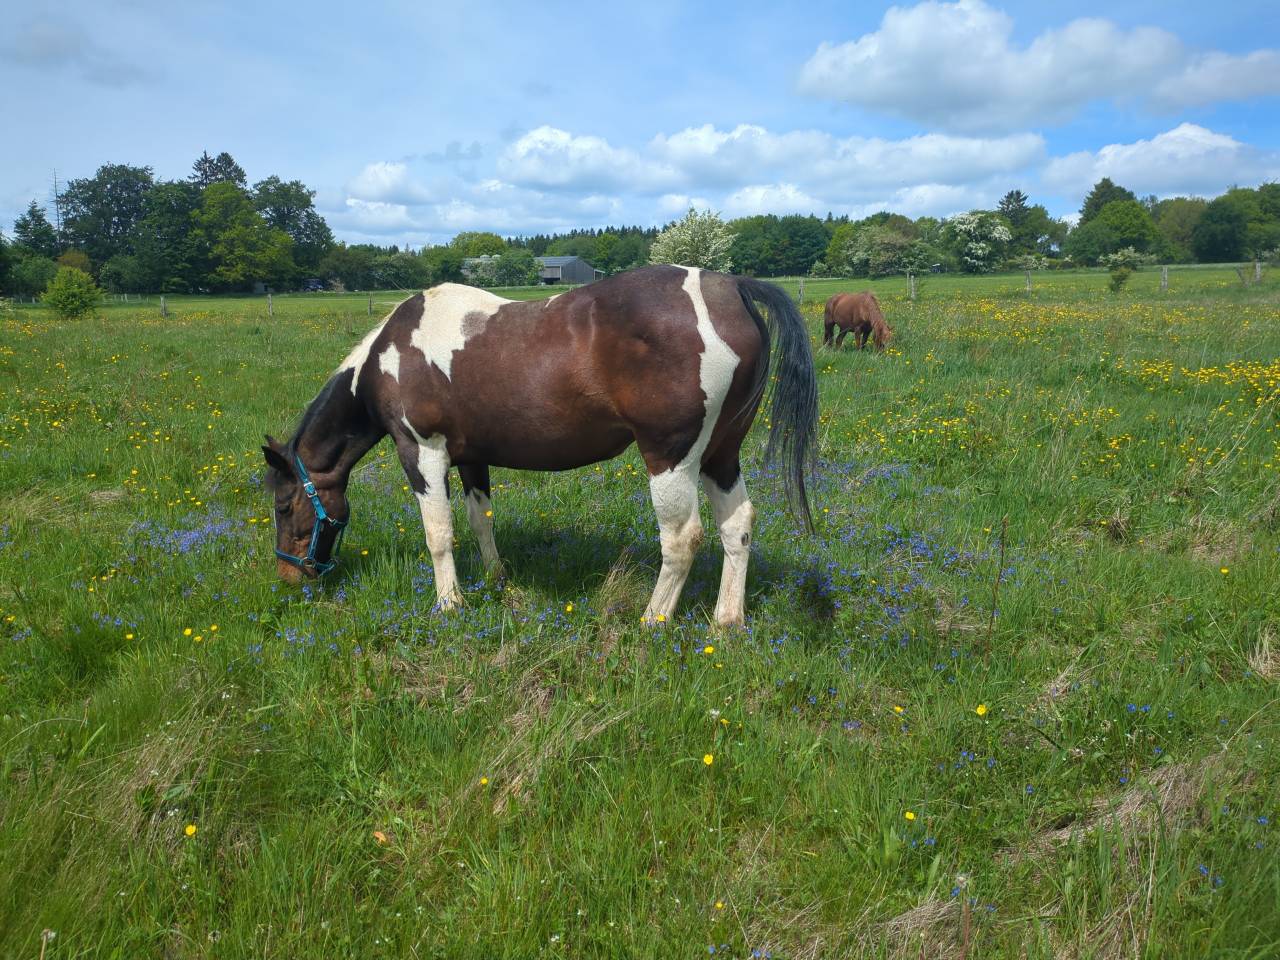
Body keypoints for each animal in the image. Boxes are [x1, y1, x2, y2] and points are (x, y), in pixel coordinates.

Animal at [263, 265, 817, 627]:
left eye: (285, 506)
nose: (288, 577)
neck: (389, 358)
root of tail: (730, 286)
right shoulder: (472, 458)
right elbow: (479, 521)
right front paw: (495, 578)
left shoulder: (421, 453)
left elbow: (439, 533)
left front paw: (449, 604)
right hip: (720, 455)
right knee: (736, 526)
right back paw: (727, 621)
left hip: (671, 458)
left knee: (683, 538)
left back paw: (652, 621)